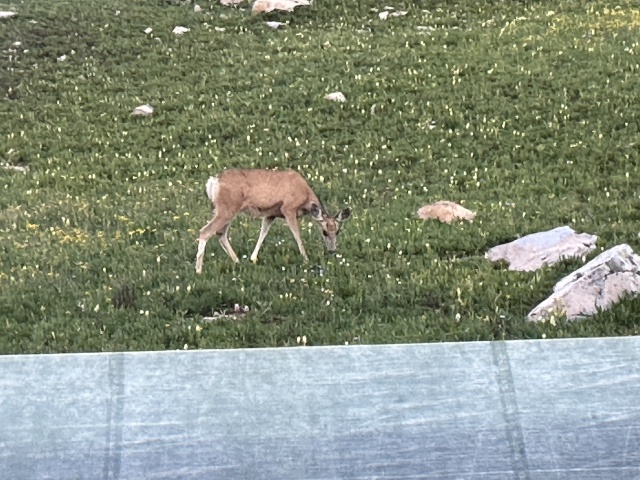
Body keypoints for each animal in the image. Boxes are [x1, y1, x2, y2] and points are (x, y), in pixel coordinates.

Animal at [195, 168, 351, 274]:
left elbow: (263, 233)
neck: (305, 196)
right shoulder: (288, 209)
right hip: (227, 208)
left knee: (220, 233)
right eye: (324, 232)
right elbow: (297, 235)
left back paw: (237, 261)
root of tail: (213, 182)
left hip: (226, 209)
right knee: (205, 231)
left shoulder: (271, 214)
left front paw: (253, 258)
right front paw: (306, 259)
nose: (332, 251)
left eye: (338, 231)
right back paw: (198, 270)